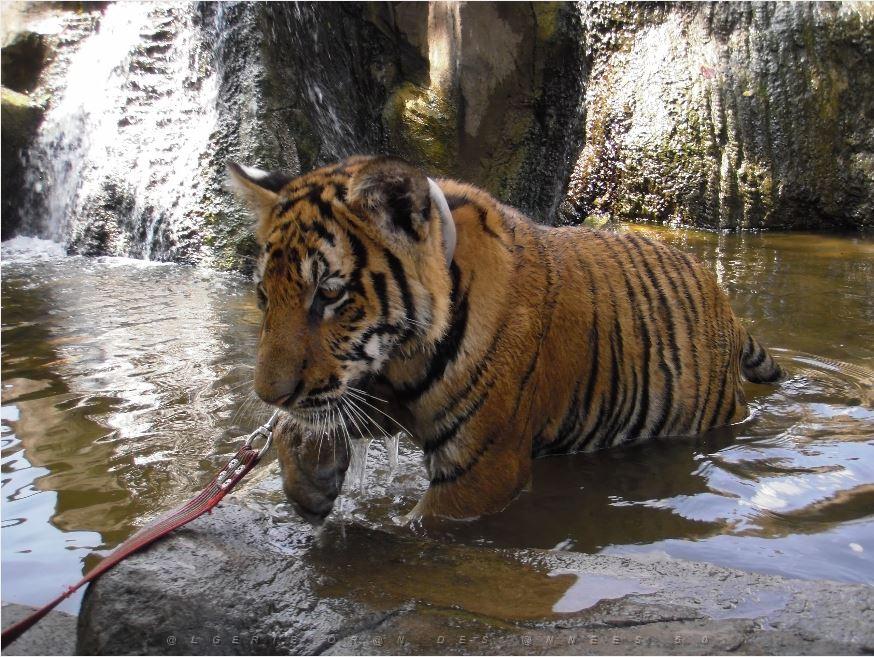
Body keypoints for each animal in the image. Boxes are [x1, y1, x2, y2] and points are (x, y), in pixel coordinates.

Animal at [229, 155, 782, 522]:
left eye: (328, 293)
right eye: (263, 296)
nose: (267, 395)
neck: (402, 360)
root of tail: (724, 301)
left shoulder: (483, 469)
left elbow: (420, 528)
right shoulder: (373, 390)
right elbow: (301, 424)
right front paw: (311, 484)